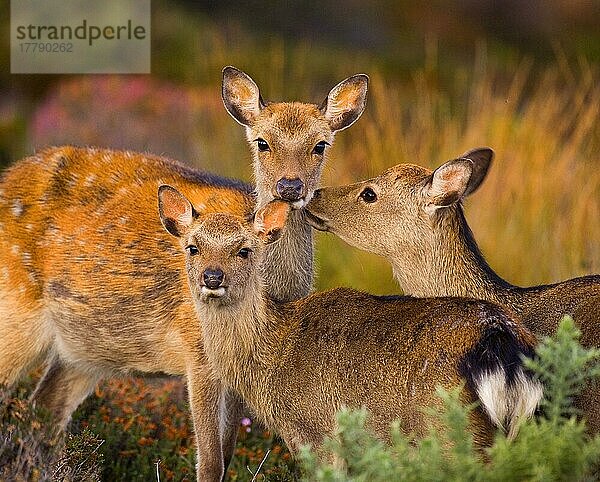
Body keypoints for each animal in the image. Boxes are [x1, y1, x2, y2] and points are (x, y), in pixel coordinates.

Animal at [0, 68, 368, 482]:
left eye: (320, 145)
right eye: (262, 142)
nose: (289, 187)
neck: (277, 292)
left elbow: (227, 452)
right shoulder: (198, 353)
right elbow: (210, 460)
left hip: (83, 350)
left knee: (43, 411)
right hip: (14, 309)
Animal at [158, 185, 544, 452]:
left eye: (244, 250)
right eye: (193, 247)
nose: (212, 277)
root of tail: (502, 343)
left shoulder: (317, 431)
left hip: (449, 427)